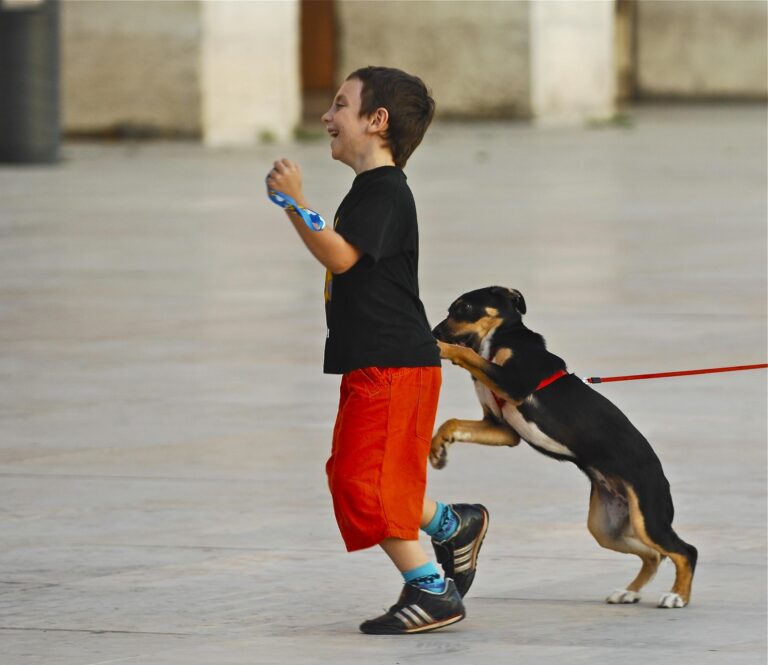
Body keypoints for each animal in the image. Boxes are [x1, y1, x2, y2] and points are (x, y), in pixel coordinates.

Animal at [432, 286, 696, 608]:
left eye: (465, 308)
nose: (435, 331)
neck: (500, 339)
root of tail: (660, 476)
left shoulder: (514, 383)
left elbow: (467, 354)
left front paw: (442, 347)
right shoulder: (502, 429)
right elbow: (452, 422)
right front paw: (437, 448)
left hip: (648, 518)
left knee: (685, 550)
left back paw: (677, 596)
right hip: (606, 527)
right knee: (654, 555)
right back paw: (629, 592)